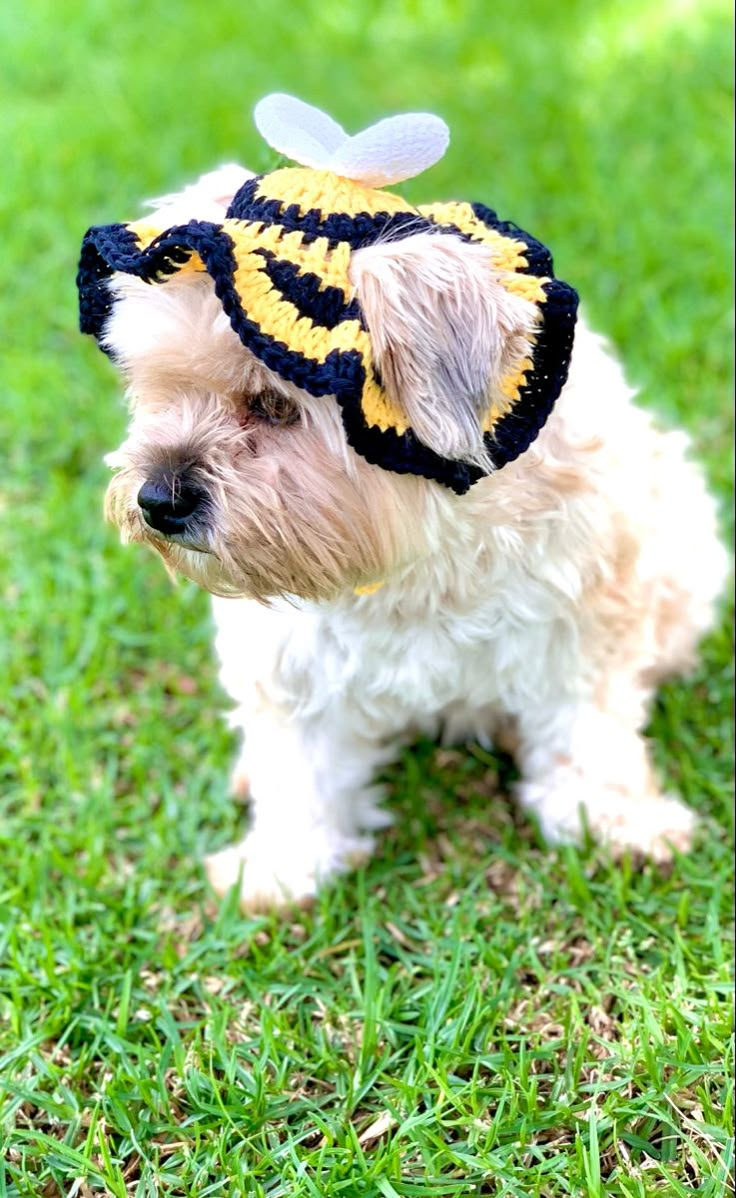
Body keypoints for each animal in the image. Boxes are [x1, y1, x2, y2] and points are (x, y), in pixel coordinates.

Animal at [77, 100, 728, 905]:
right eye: (159, 386)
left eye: (274, 405)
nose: (156, 498)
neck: (422, 553)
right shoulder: (292, 660)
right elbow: (301, 772)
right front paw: (285, 865)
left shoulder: (585, 622)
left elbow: (589, 733)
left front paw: (613, 821)